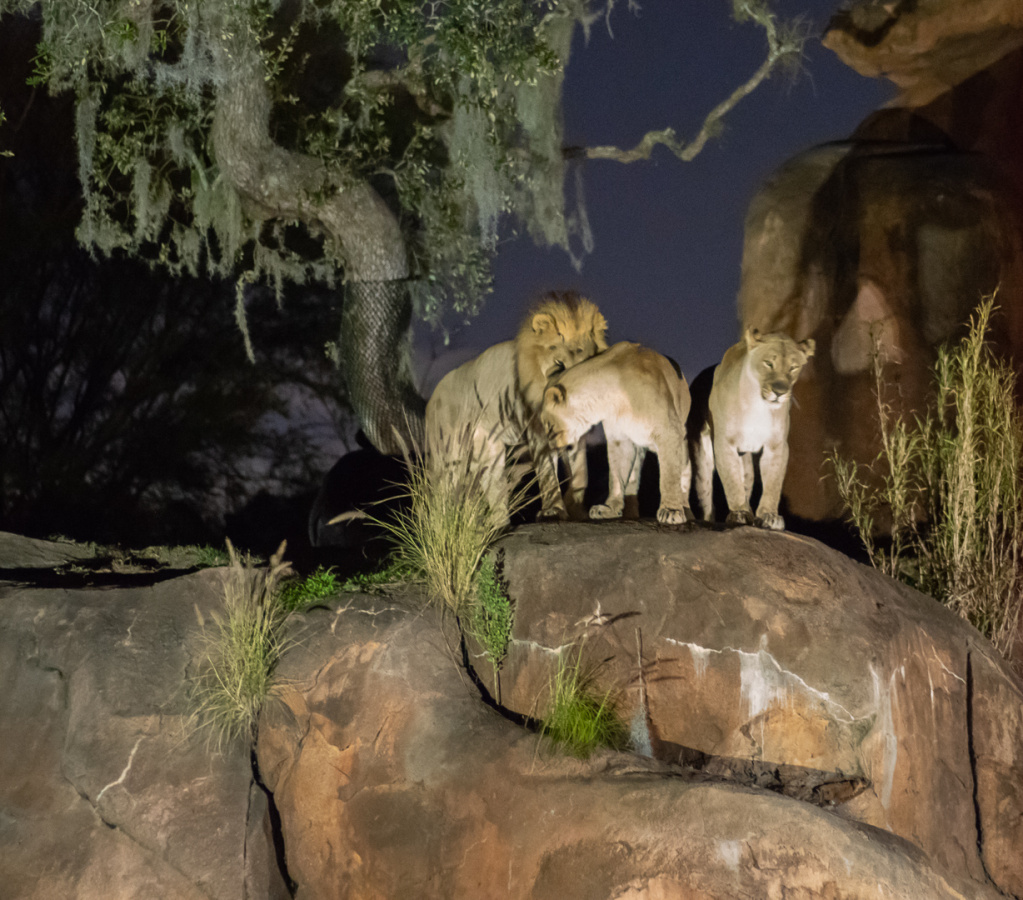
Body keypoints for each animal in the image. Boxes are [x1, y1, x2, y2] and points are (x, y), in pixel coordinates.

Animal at [425, 290, 608, 524]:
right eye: (559, 362)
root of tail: (432, 397)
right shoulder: (538, 432)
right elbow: (548, 473)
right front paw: (554, 510)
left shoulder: (575, 432)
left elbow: (580, 473)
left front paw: (577, 511)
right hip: (449, 455)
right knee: (441, 492)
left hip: (488, 449)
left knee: (492, 485)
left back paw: (498, 524)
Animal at [540, 341, 693, 525]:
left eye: (549, 426)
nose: (549, 447)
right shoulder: (619, 438)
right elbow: (616, 476)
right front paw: (609, 508)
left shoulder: (668, 431)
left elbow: (669, 476)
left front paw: (671, 510)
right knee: (633, 479)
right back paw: (631, 513)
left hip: (681, 441)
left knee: (684, 471)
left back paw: (685, 509)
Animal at [687, 328, 815, 531]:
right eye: (769, 363)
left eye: (793, 368)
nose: (779, 392)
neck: (758, 403)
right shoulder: (725, 443)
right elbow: (731, 481)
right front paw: (738, 513)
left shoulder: (776, 446)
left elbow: (773, 483)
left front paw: (769, 515)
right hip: (701, 455)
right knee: (705, 490)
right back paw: (707, 519)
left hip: (745, 459)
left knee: (746, 480)